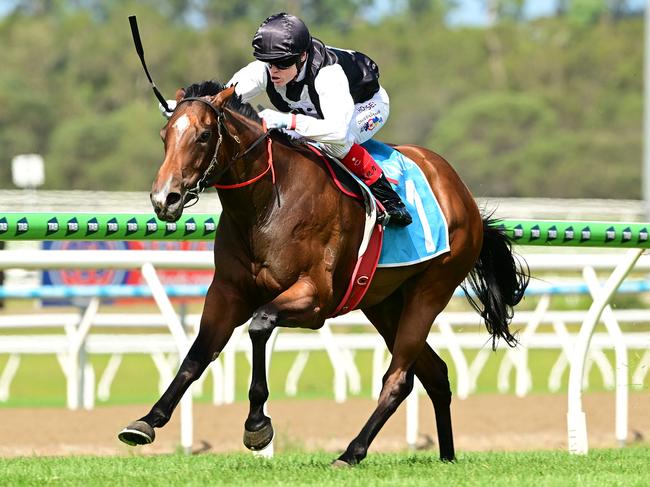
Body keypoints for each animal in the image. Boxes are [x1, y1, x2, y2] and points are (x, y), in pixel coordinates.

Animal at [117, 80, 528, 466]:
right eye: (165, 134)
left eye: (203, 135)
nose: (164, 198)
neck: (267, 202)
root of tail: (459, 190)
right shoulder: (227, 292)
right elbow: (198, 353)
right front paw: (148, 420)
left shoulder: (314, 298)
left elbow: (259, 325)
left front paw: (257, 426)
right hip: (383, 304)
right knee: (434, 374)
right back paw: (446, 455)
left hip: (431, 290)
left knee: (399, 379)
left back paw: (352, 452)